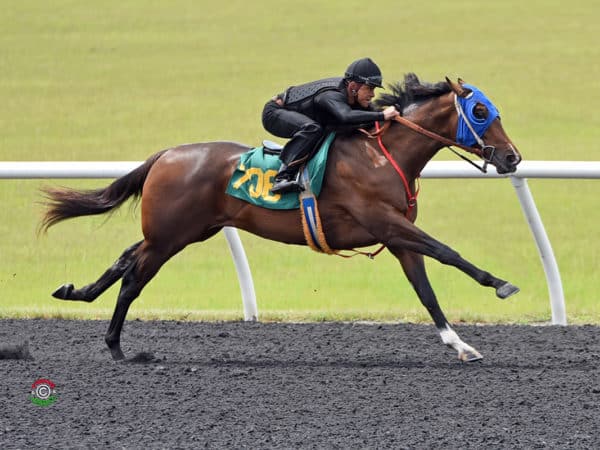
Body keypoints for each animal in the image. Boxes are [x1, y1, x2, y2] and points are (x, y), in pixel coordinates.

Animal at [42, 74, 520, 362]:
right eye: (480, 112)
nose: (513, 158)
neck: (382, 155)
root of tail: (166, 154)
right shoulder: (386, 221)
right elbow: (447, 252)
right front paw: (501, 283)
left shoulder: (398, 236)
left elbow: (426, 292)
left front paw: (460, 344)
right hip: (169, 237)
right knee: (132, 280)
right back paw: (116, 348)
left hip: (183, 231)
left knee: (125, 258)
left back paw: (77, 295)